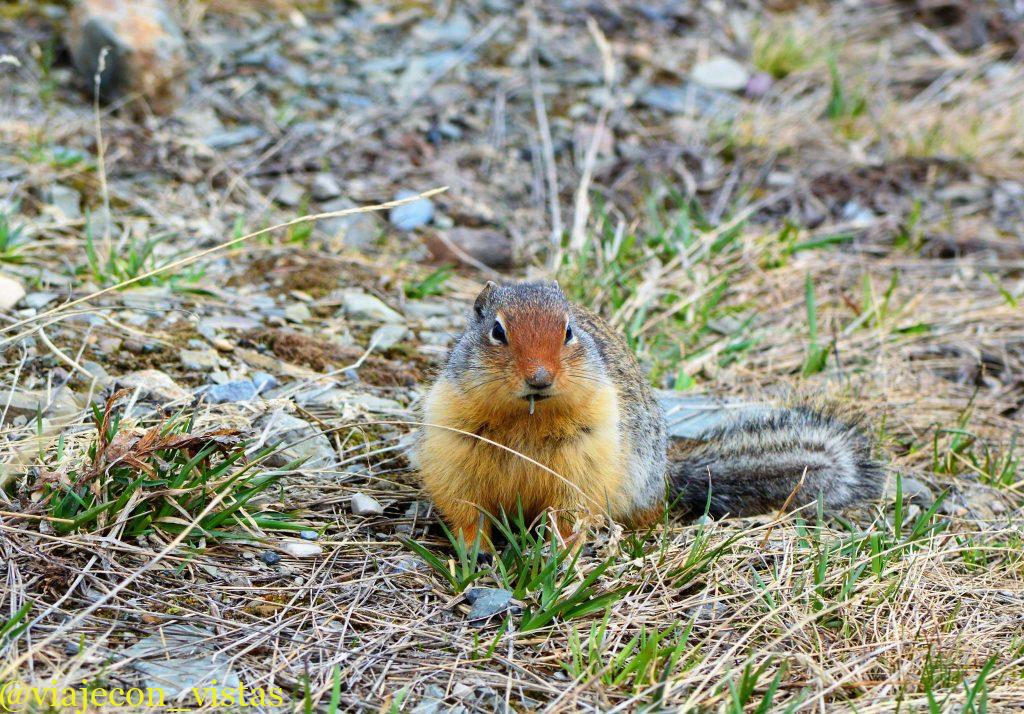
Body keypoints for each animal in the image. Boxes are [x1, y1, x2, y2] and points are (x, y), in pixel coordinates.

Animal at [416, 280, 883, 547]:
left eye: (568, 331)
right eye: (497, 330)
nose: (540, 377)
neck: (527, 417)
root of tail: (666, 472)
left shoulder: (583, 460)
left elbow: (570, 512)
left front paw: (561, 551)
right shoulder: (453, 448)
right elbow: (466, 510)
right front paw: (475, 553)